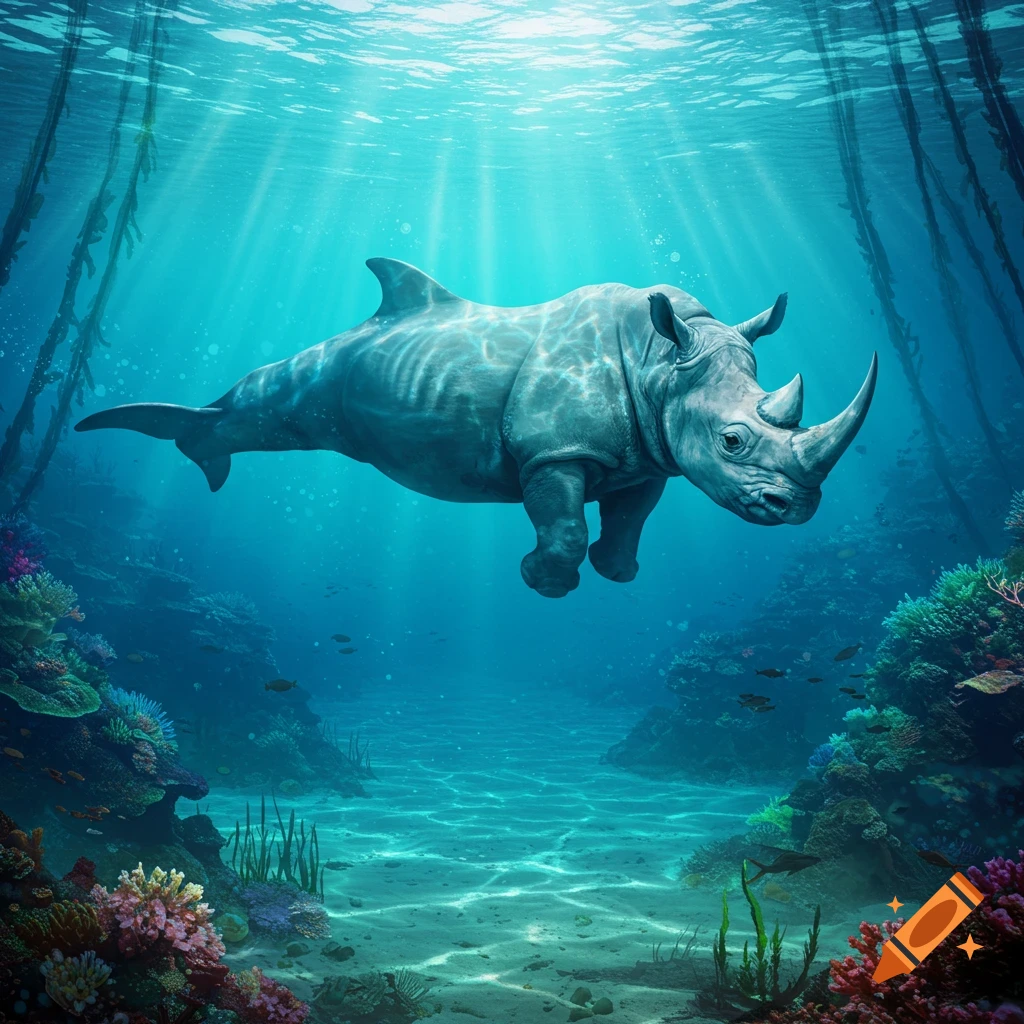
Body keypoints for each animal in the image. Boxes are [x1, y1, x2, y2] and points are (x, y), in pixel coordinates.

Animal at [75, 258, 876, 598]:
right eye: (733, 441)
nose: (796, 509)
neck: (662, 362)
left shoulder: (648, 452)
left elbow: (629, 521)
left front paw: (618, 572)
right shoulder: (554, 451)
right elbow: (564, 525)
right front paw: (544, 582)